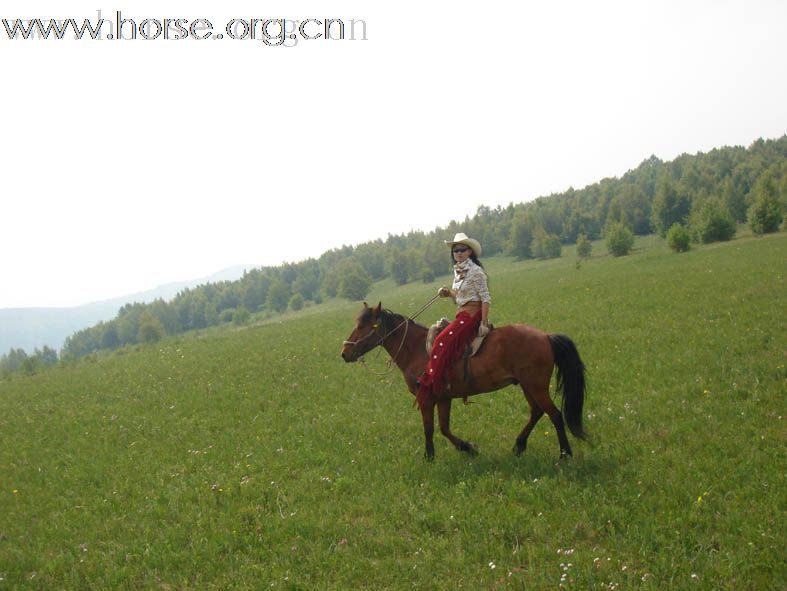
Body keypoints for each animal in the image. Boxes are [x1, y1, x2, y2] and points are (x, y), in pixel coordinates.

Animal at [342, 306, 588, 462]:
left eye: (363, 326)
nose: (344, 352)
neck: (418, 349)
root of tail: (546, 336)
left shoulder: (427, 399)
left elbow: (429, 428)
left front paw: (429, 457)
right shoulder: (443, 398)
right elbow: (444, 428)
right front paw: (468, 448)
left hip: (535, 386)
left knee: (555, 415)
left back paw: (565, 454)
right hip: (528, 386)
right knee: (537, 412)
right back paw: (519, 446)